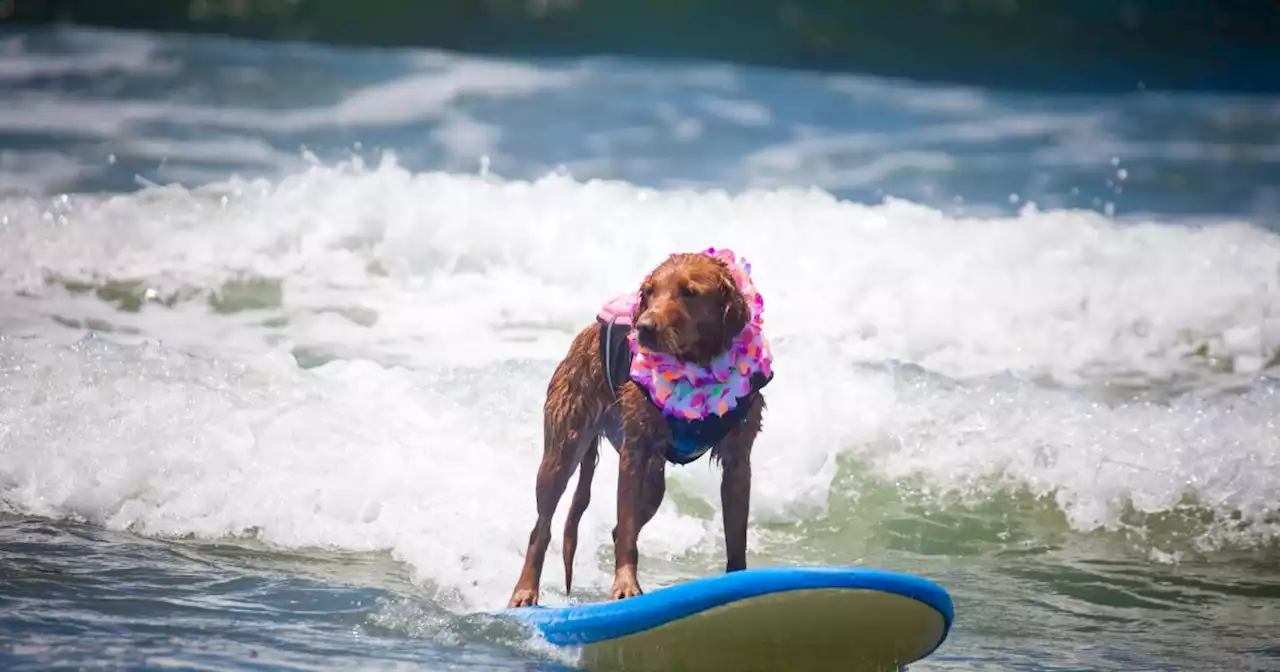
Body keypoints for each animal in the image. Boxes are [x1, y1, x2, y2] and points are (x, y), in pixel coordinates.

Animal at [506, 247, 768, 606]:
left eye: (690, 292)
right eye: (649, 292)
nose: (643, 327)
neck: (696, 362)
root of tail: (586, 334)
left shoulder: (738, 459)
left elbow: (736, 535)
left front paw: (738, 579)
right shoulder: (634, 451)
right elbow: (627, 529)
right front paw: (625, 585)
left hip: (653, 482)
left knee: (619, 526)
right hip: (562, 450)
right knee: (542, 527)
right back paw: (525, 589)